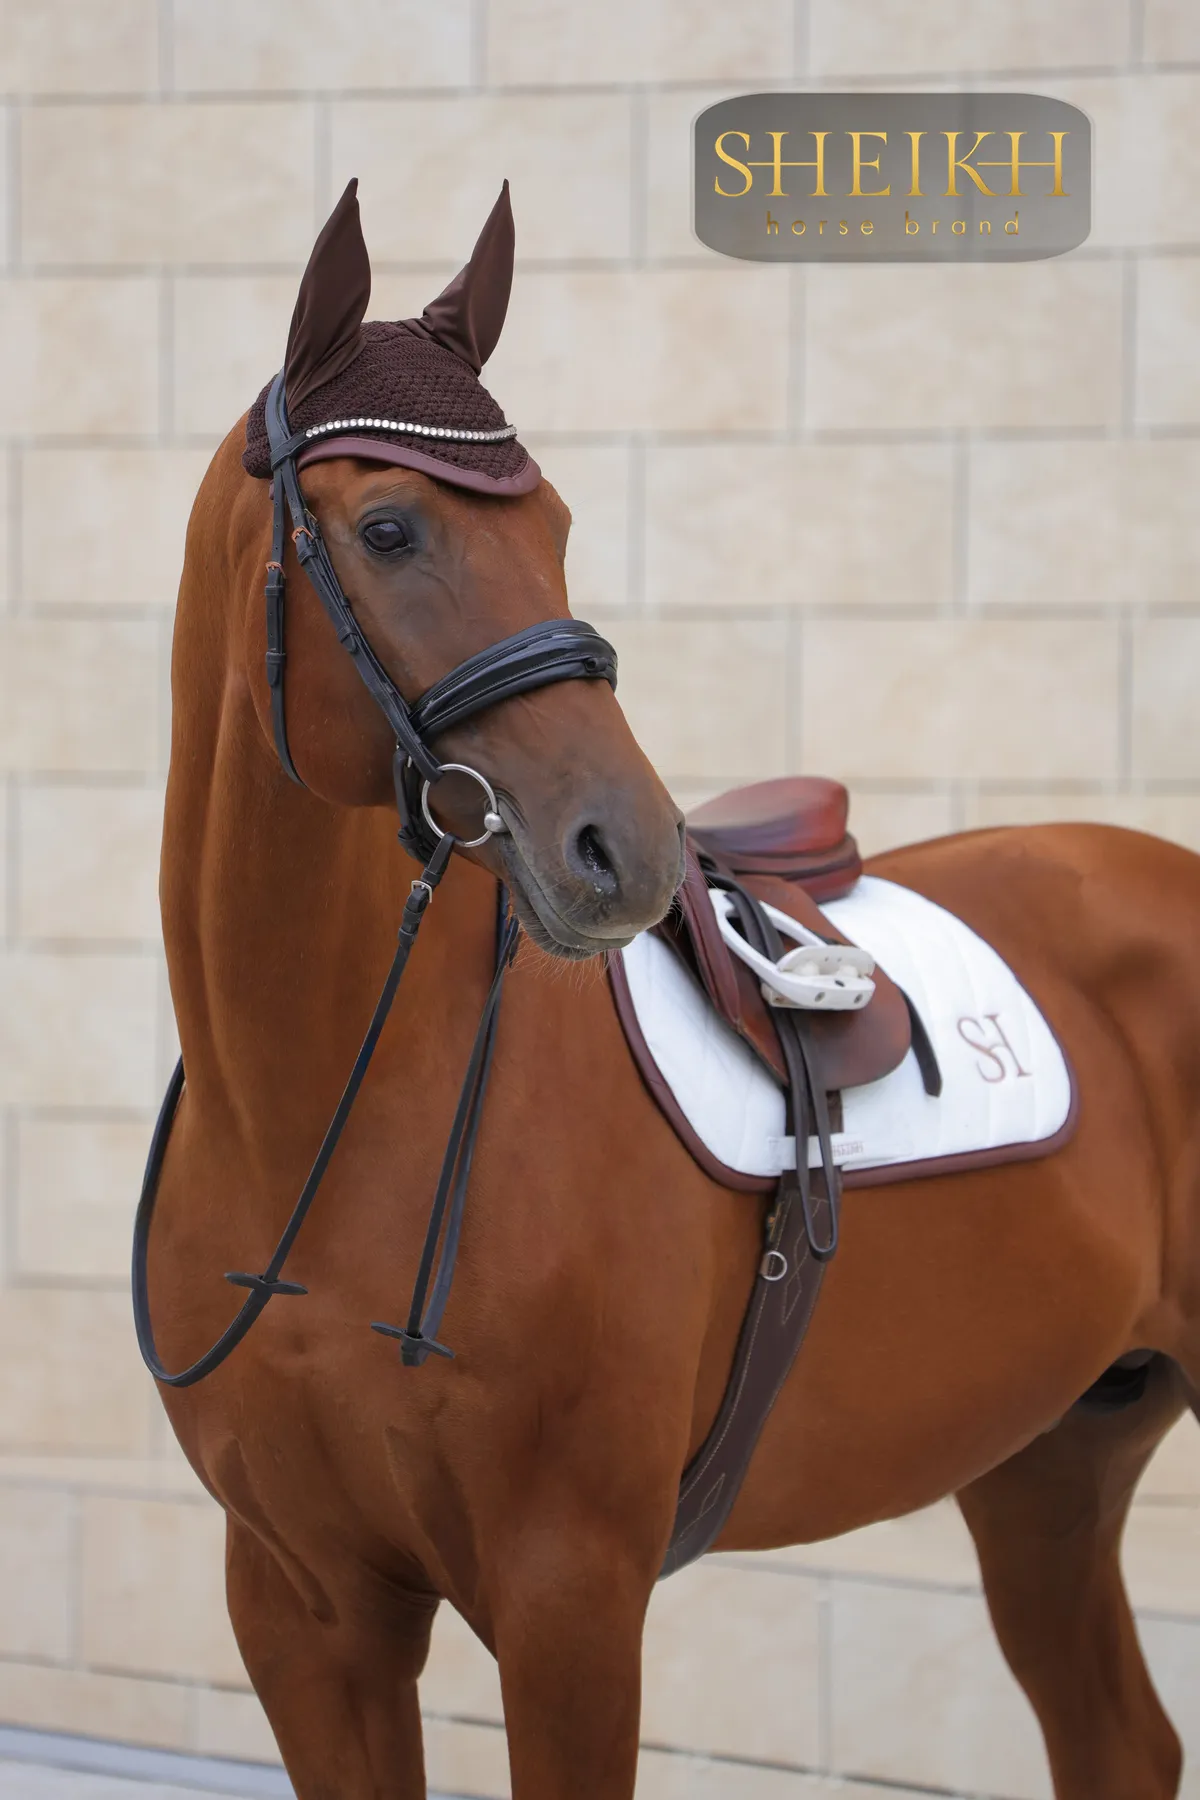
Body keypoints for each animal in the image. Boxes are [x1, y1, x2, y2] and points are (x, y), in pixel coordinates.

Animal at [144, 184, 1200, 1800]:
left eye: (561, 526)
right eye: (388, 527)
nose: (622, 850)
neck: (318, 1124)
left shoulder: (569, 1599)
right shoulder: (303, 1608)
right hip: (1051, 1460)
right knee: (1117, 1740)